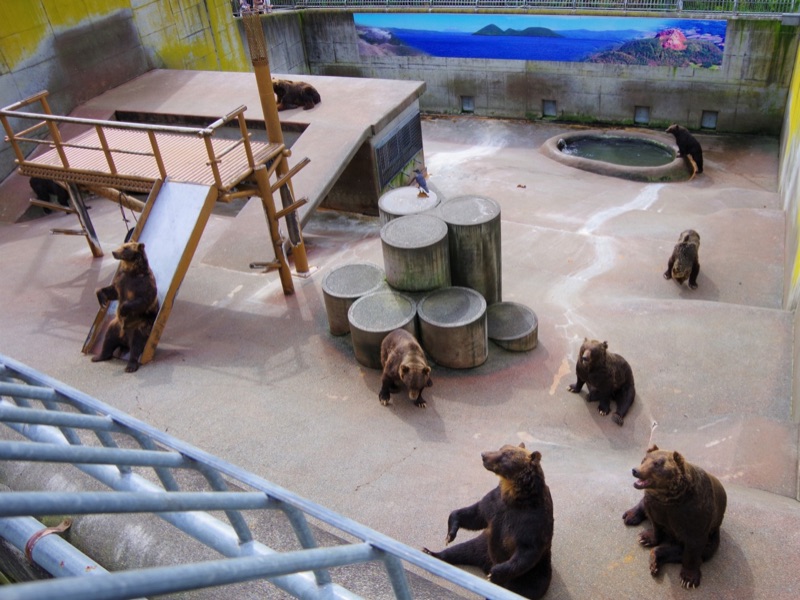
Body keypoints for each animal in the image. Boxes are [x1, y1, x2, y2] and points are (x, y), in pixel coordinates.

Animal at [92, 241, 159, 373]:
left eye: (126, 248)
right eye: (122, 245)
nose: (114, 252)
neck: (132, 271)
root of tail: (124, 340)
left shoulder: (143, 284)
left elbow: (142, 300)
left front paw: (122, 309)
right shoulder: (121, 280)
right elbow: (113, 291)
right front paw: (101, 298)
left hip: (139, 326)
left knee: (136, 345)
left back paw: (130, 366)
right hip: (115, 325)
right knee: (108, 338)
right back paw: (98, 356)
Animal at [423, 443, 554, 600]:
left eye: (506, 454)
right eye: (501, 448)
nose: (484, 455)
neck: (515, 495)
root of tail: (484, 565)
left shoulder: (531, 521)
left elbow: (527, 550)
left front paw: (495, 573)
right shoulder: (495, 503)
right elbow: (475, 514)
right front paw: (450, 534)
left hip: (534, 573)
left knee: (525, 587)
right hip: (483, 546)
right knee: (463, 550)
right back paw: (431, 553)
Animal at [622, 445, 727, 589]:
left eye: (657, 464)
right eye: (644, 459)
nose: (635, 470)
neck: (669, 498)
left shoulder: (695, 515)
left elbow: (694, 547)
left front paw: (688, 579)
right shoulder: (657, 506)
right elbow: (655, 524)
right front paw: (646, 538)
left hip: (714, 533)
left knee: (701, 551)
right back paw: (631, 516)